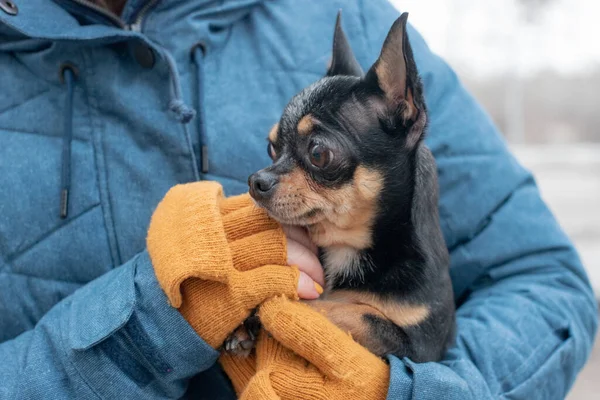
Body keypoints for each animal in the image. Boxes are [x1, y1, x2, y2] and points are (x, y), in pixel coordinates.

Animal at [225, 12, 454, 362]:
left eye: (319, 153)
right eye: (271, 147)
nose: (256, 181)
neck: (345, 246)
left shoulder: (419, 345)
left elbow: (356, 313)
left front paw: (283, 308)